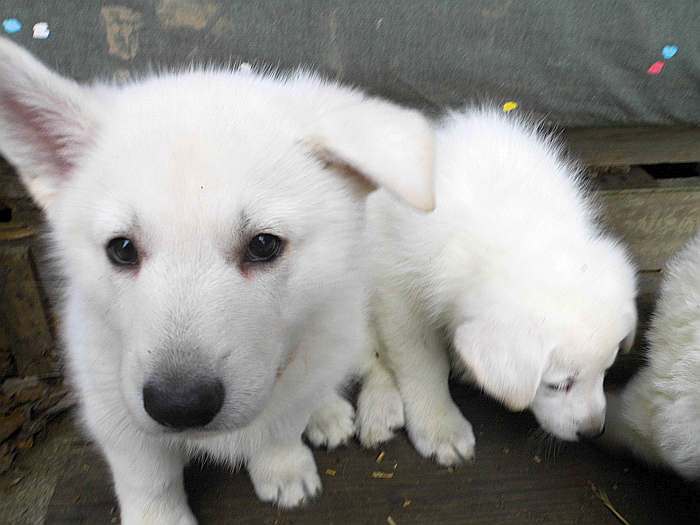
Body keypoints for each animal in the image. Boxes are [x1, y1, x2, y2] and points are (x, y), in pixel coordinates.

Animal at [0, 39, 438, 520]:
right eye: (122, 249)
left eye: (264, 244)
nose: (180, 407)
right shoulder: (112, 405)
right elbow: (147, 478)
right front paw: (159, 518)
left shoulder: (299, 373)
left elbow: (282, 427)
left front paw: (282, 468)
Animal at [358, 108, 636, 464]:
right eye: (557, 385)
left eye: (606, 370)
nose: (593, 431)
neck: (520, 224)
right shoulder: (399, 292)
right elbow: (420, 362)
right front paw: (439, 425)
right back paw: (379, 408)